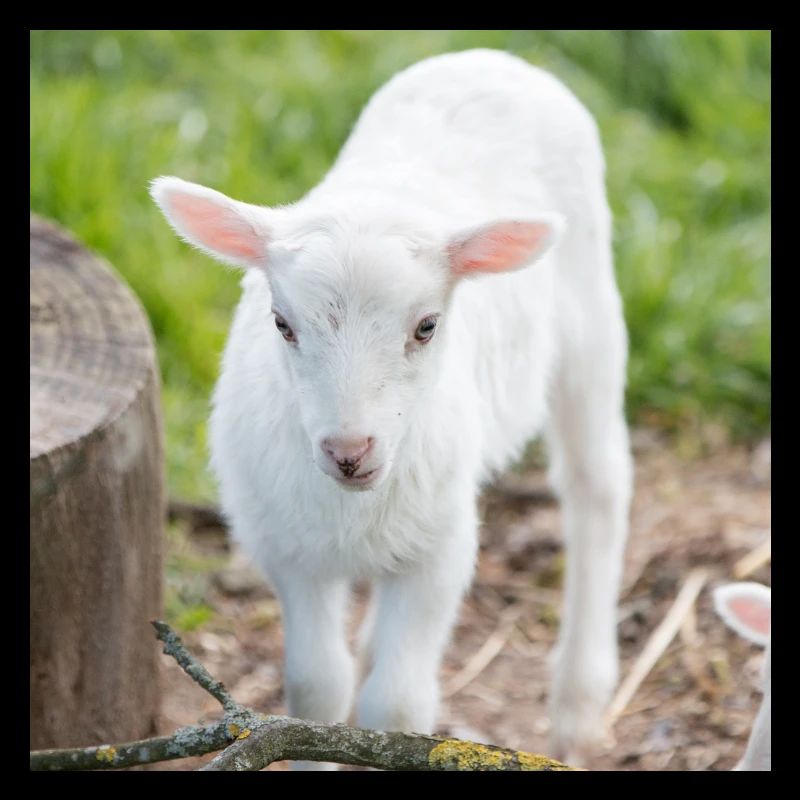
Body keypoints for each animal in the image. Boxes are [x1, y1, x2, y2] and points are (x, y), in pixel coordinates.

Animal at [151, 48, 633, 769]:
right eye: (282, 324)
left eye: (428, 326)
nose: (350, 452)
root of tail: (490, 57)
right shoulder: (287, 545)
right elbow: (316, 689)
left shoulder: (441, 550)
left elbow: (398, 708)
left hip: (591, 323)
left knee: (595, 487)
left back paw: (578, 702)